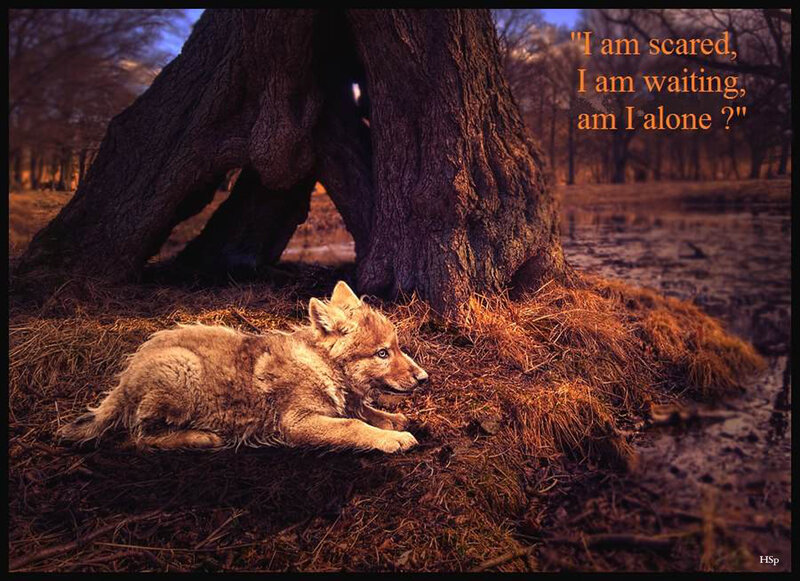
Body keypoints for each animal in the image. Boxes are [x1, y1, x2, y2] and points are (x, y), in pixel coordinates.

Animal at [59, 281, 428, 453]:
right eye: (382, 353)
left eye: (396, 348)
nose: (425, 378)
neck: (322, 366)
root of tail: (122, 382)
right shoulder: (297, 423)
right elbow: (352, 426)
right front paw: (391, 439)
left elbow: (364, 411)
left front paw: (392, 420)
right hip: (183, 370)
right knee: (139, 438)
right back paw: (201, 437)